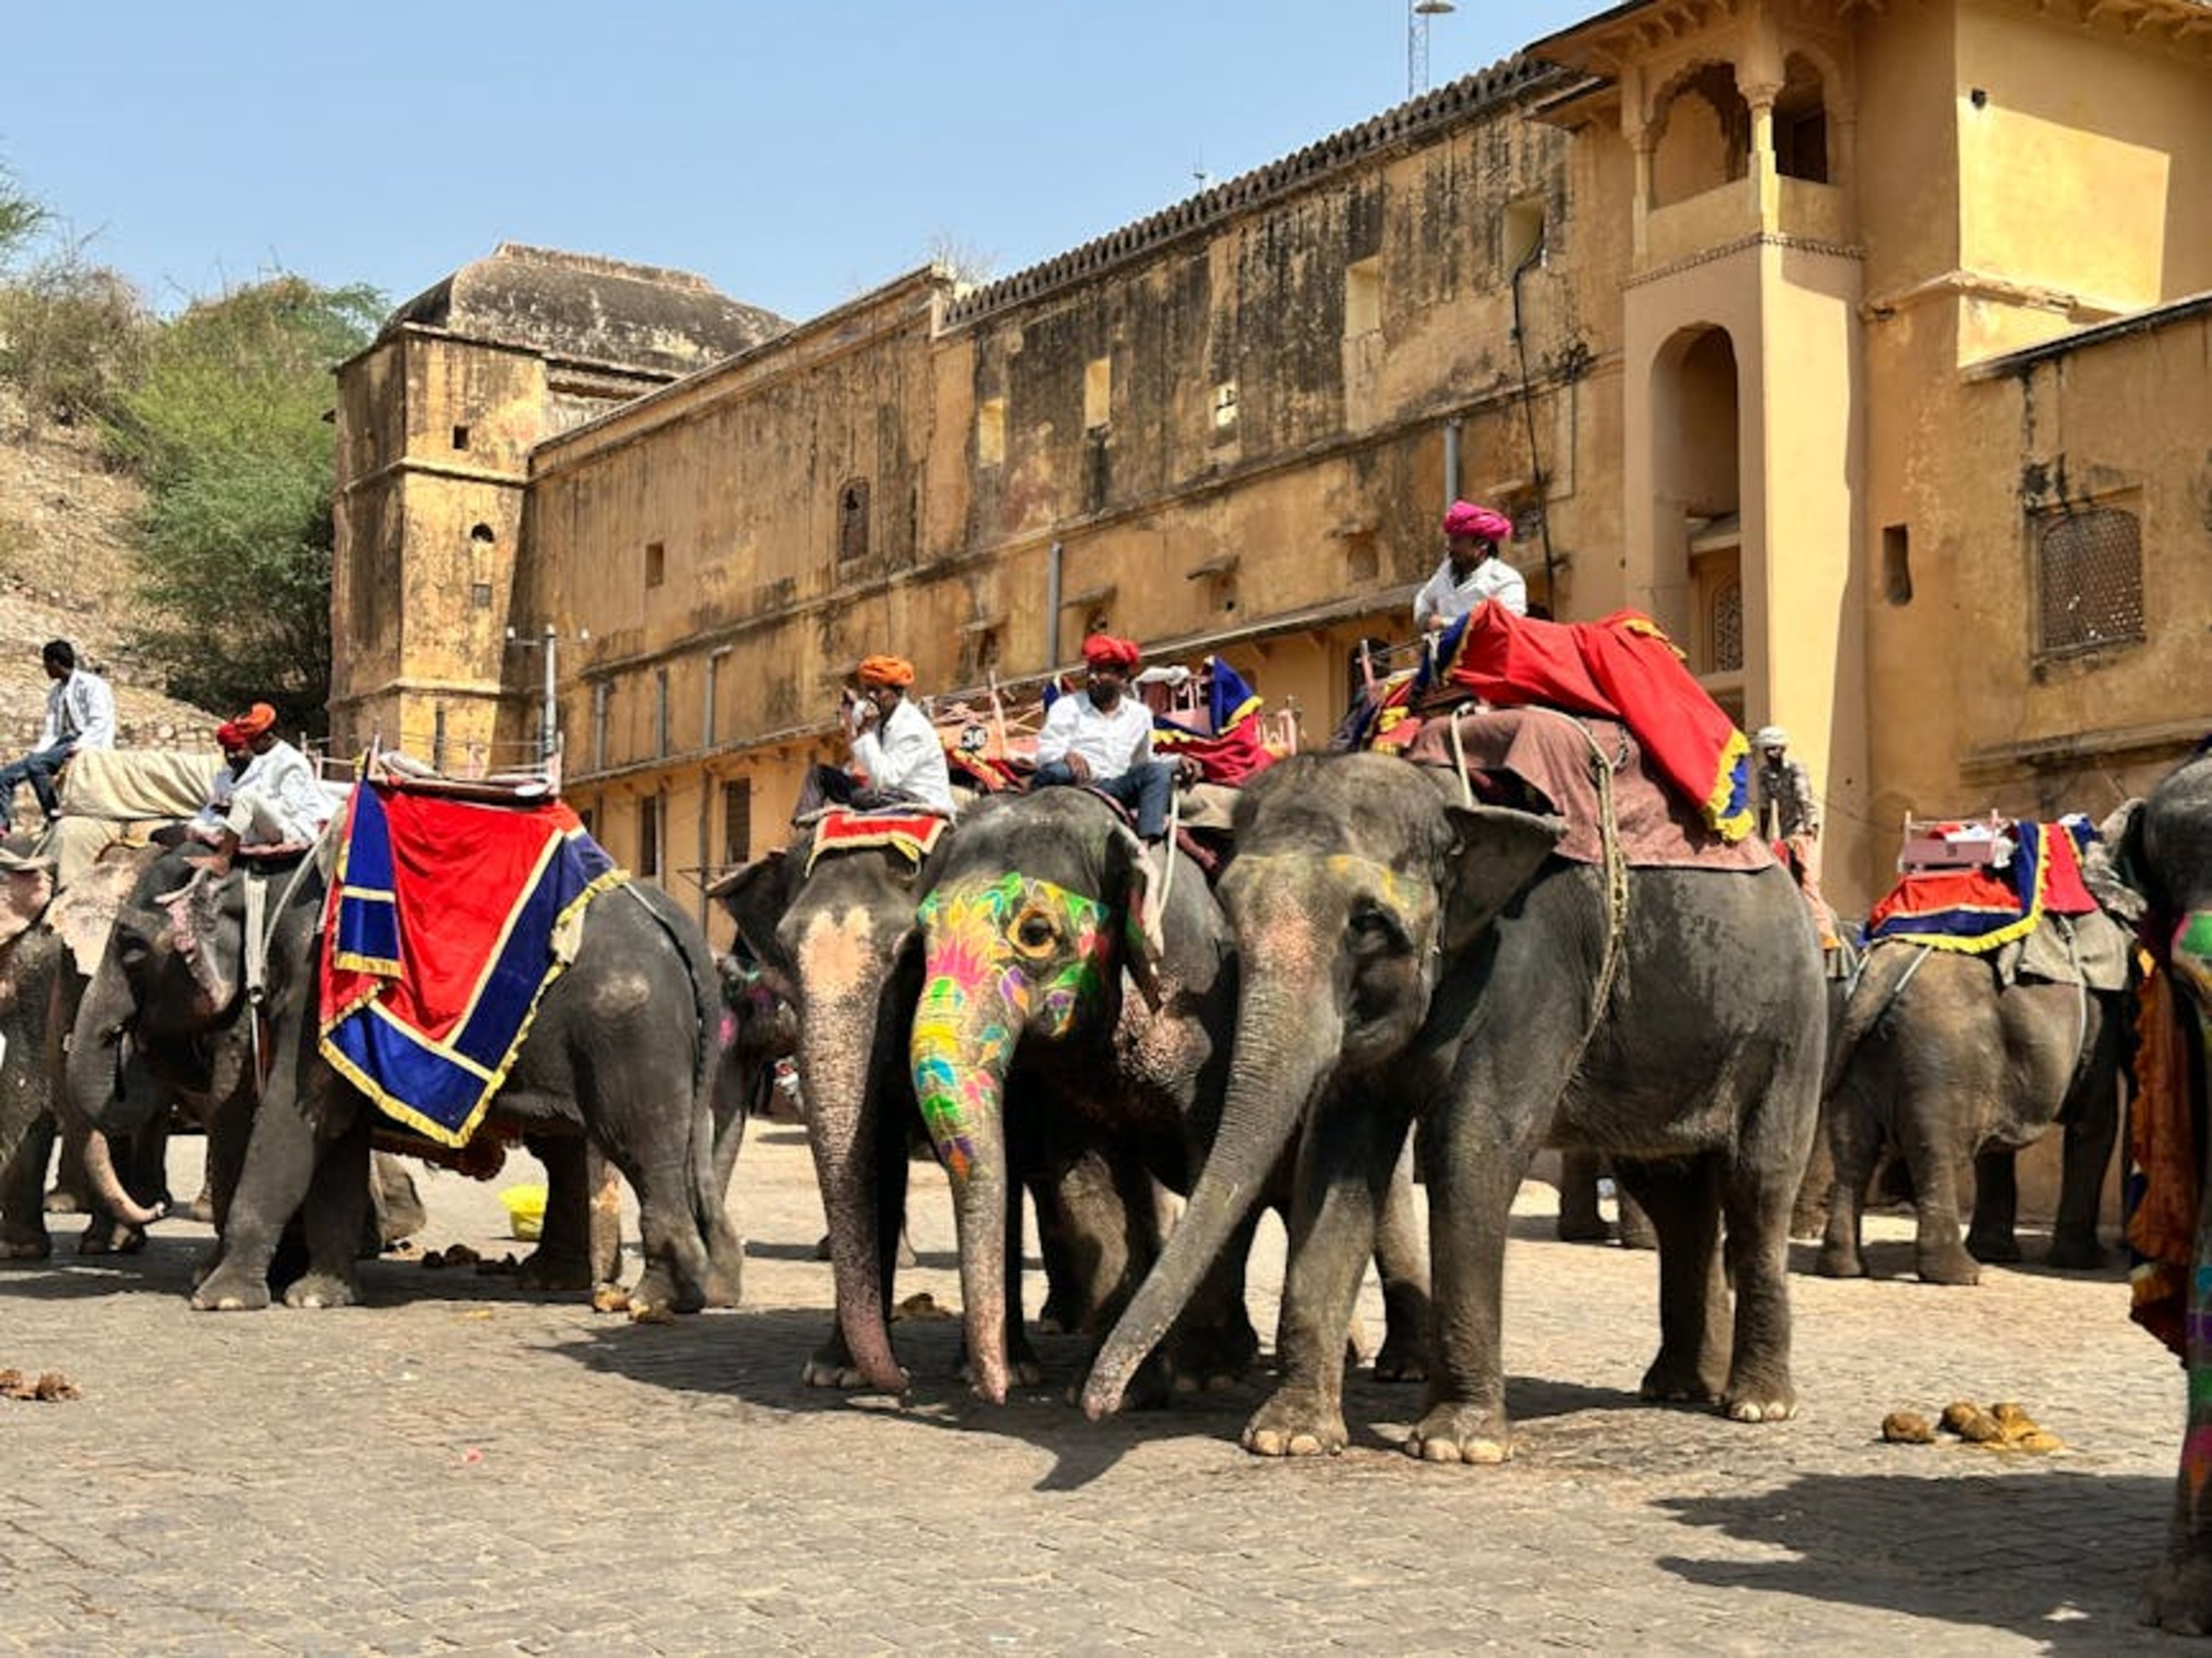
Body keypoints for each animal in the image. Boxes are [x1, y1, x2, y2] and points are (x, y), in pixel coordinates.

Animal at [66, 843, 737, 1316]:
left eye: (130, 948)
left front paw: (219, 1298)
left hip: (629, 1032)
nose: (159, 1206)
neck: (266, 875)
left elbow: (290, 1121)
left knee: (640, 1147)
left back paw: (652, 1300)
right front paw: (319, 1296)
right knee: (574, 1150)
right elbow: (333, 1135)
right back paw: (565, 1281)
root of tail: (676, 921)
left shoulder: (317, 987)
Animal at [906, 785, 1431, 1407]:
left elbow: (1214, 1167)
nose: (995, 1389)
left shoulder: (1212, 1023)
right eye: (920, 936)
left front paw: (1204, 1374)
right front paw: (1120, 1388)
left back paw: (1402, 1366)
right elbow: (1100, 1188)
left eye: (1035, 933)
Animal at [1080, 749, 1825, 1462]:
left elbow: (1469, 1145)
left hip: (1791, 1030)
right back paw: (1679, 1386)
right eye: (1232, 911)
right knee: (1672, 1192)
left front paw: (1457, 1444)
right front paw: (1289, 1437)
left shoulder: (1533, 968)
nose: (1100, 1402)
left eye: (1369, 922)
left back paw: (1756, 1403)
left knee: (1757, 1184)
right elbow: (1339, 1155)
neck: (1447, 800)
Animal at [1815, 924, 2130, 1285]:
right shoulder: (2101, 1022)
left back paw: (1843, 1269)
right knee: (1937, 1151)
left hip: (1862, 1055)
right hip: (1940, 1059)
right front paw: (2087, 1262)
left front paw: (1996, 1253)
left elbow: (1998, 1146)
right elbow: (2096, 1123)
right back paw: (1960, 1274)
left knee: (1853, 1148)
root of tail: (1876, 985)